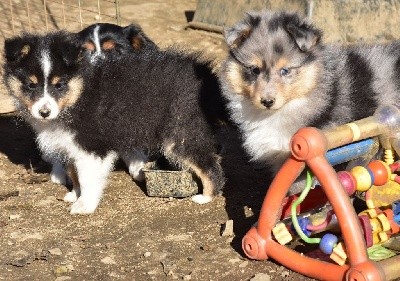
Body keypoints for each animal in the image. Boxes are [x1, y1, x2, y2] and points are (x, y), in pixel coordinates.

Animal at [3, 30, 227, 213]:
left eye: (59, 85)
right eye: (31, 85)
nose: (44, 112)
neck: (78, 97)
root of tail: (207, 77)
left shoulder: (91, 148)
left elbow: (87, 179)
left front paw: (85, 205)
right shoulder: (67, 145)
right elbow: (74, 174)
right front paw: (74, 194)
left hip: (181, 133)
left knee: (209, 166)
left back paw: (206, 196)